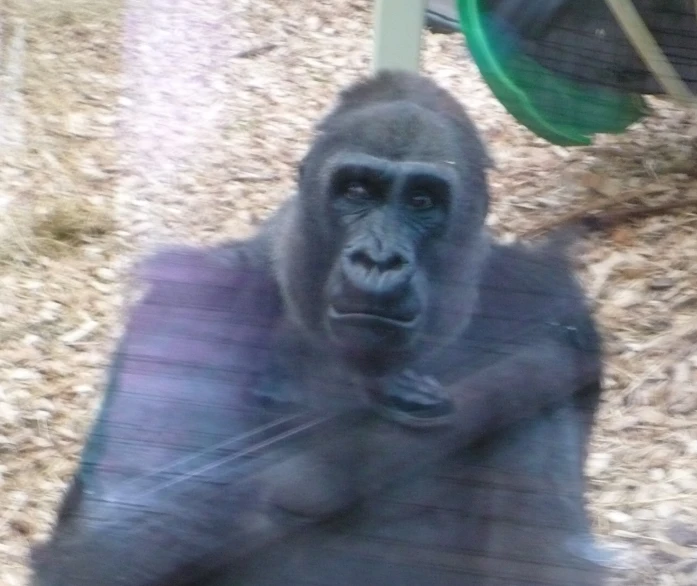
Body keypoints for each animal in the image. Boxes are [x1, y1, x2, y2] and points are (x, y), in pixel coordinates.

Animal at [31, 72, 608, 584]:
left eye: (422, 200)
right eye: (356, 190)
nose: (379, 260)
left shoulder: (550, 302)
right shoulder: (188, 303)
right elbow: (98, 551)